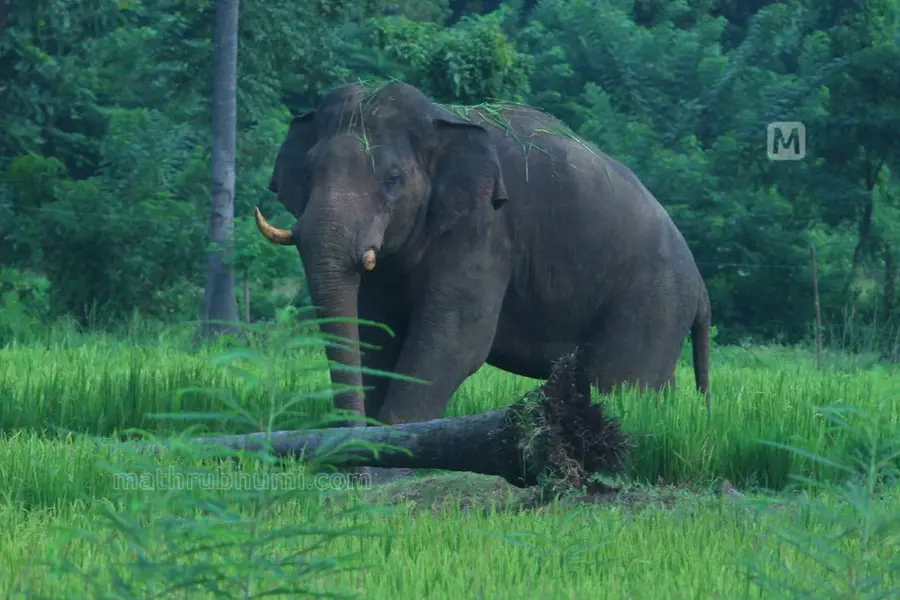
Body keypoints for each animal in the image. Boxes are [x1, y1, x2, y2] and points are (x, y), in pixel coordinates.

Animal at [254, 81, 711, 427]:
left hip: (652, 301)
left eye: (393, 179)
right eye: (308, 172)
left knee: (620, 381)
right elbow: (374, 331)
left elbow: (455, 339)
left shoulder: (485, 229)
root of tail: (701, 286)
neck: (440, 119)